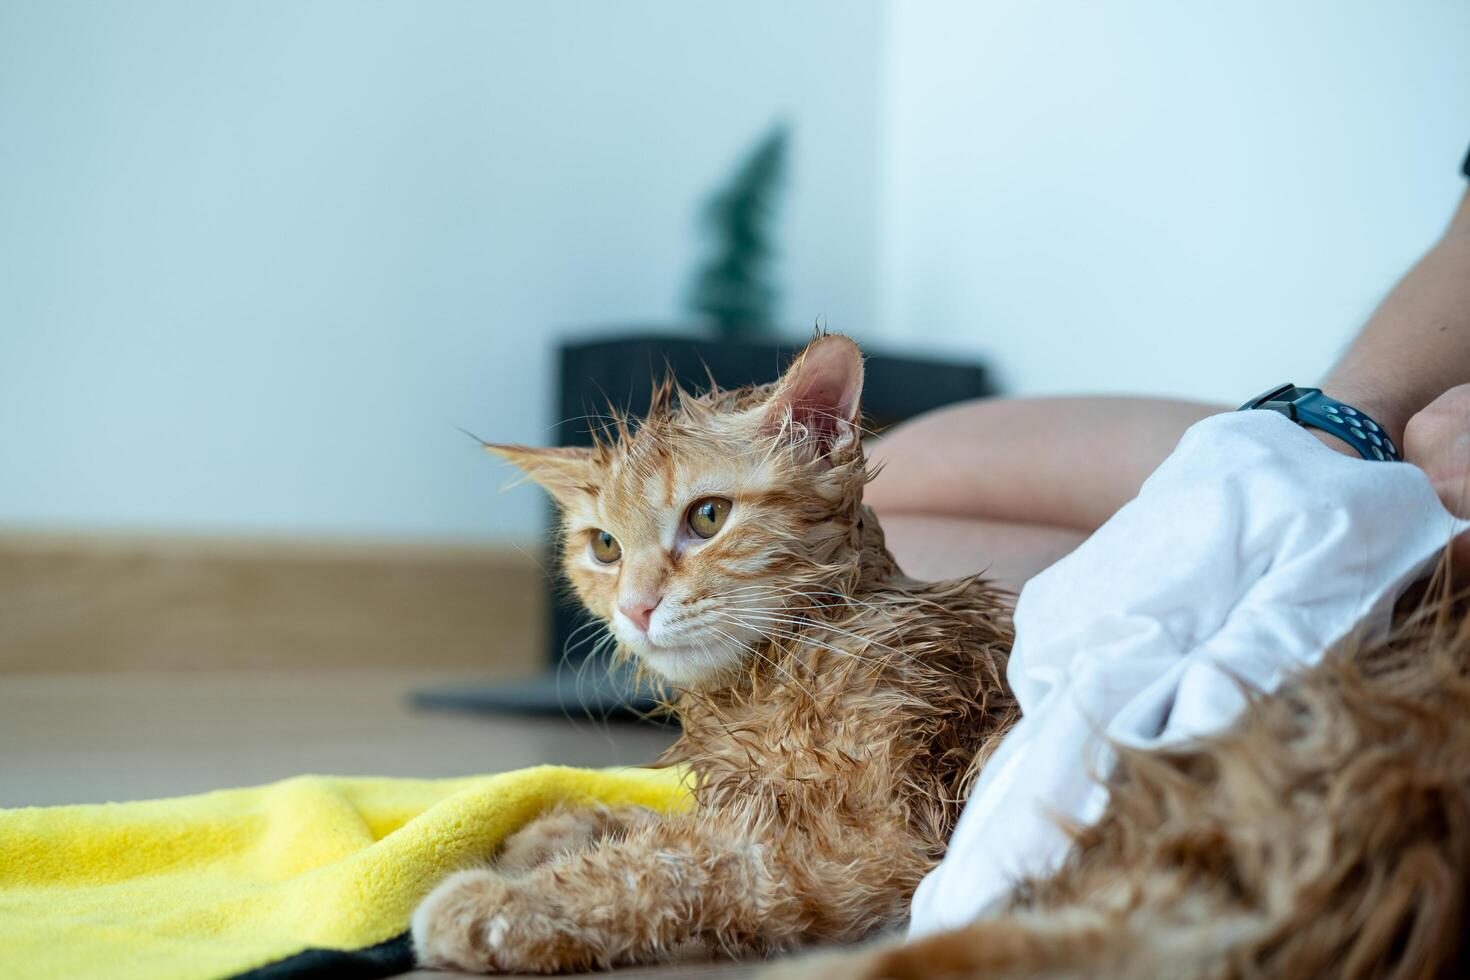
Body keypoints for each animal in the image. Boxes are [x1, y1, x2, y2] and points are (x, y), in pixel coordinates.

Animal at [408, 337, 1017, 975]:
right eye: (605, 546)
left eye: (708, 516)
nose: (635, 607)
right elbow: (663, 819)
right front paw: (566, 826)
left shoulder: (859, 849)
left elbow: (674, 862)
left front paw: (508, 900)